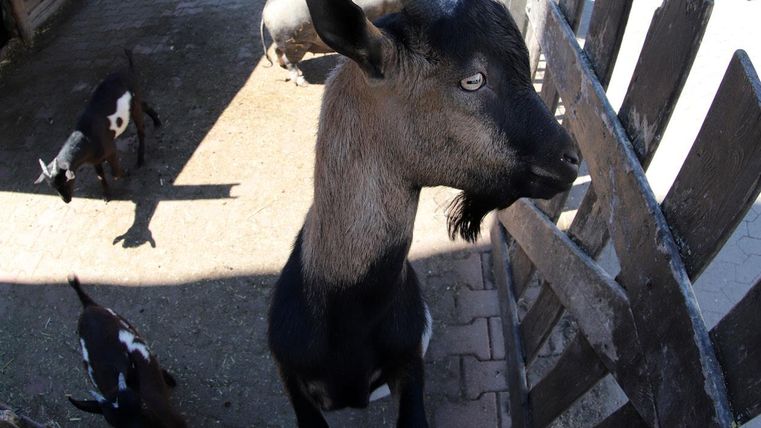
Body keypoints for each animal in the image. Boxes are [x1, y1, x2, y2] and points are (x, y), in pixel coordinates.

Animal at [35, 49, 161, 203]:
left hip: (134, 105)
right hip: (134, 104)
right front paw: (106, 195)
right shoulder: (94, 159)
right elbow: (100, 175)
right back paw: (157, 122)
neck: (86, 137)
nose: (67, 200)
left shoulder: (111, 149)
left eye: (67, 181)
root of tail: (128, 72)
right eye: (52, 187)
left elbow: (114, 172)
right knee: (145, 105)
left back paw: (140, 159)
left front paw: (124, 173)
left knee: (141, 129)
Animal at [259, 0, 400, 86]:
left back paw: (281, 64)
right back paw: (303, 83)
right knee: (290, 61)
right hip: (295, 42)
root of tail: (265, 11)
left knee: (277, 50)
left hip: (285, 40)